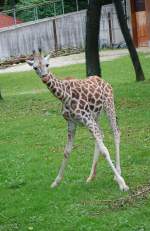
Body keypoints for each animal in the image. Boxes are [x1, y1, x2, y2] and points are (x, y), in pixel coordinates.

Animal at [27, 50, 129, 191]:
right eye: (35, 67)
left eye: (47, 64)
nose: (45, 77)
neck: (64, 96)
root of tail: (103, 80)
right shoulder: (71, 122)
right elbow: (67, 151)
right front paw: (56, 182)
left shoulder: (86, 119)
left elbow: (105, 150)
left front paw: (122, 184)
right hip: (96, 116)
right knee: (101, 135)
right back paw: (91, 176)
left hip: (109, 106)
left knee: (116, 132)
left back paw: (117, 173)